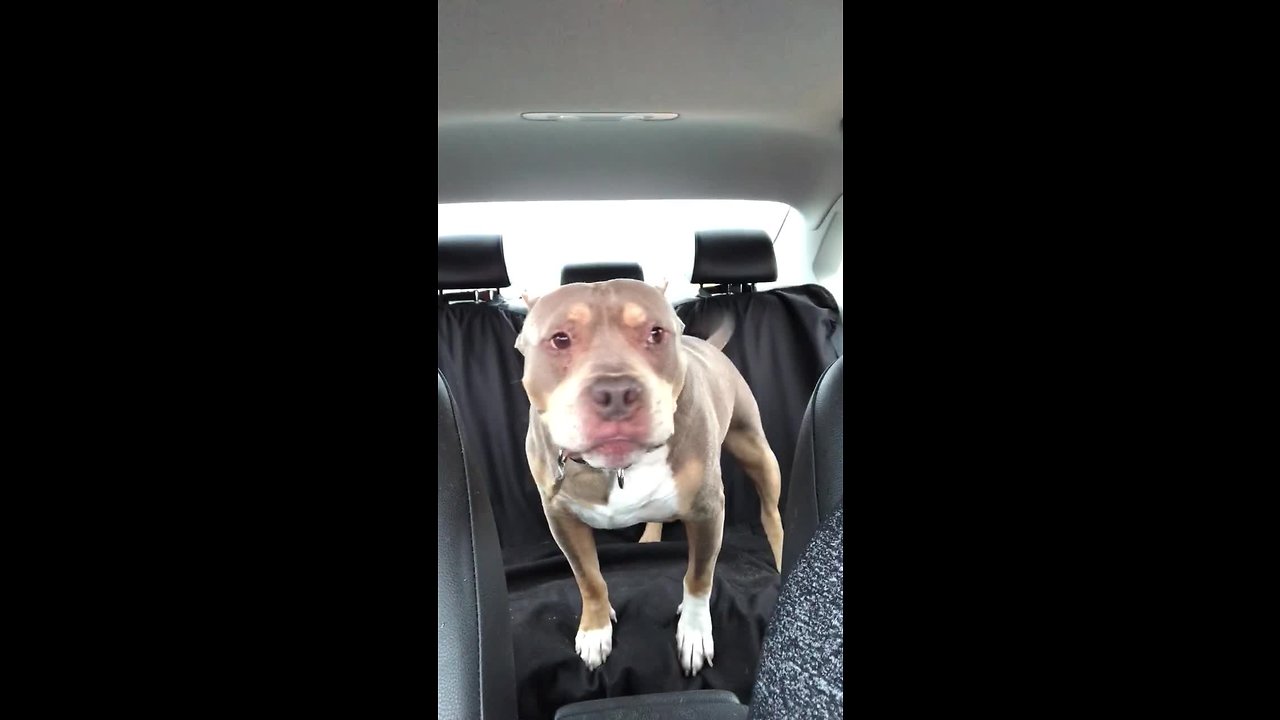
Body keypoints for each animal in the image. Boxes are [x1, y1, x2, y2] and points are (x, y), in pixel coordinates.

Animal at [514, 275, 783, 671]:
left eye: (656, 333)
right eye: (560, 339)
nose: (616, 392)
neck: (617, 468)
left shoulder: (707, 511)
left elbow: (699, 577)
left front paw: (694, 632)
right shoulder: (561, 518)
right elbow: (588, 578)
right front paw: (595, 630)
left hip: (757, 452)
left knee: (771, 514)